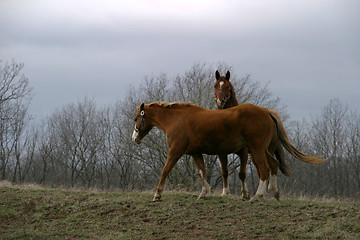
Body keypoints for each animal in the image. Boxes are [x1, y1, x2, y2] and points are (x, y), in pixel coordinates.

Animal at [132, 100, 326, 202]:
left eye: (136, 118)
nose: (134, 138)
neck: (177, 119)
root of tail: (266, 111)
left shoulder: (175, 152)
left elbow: (165, 170)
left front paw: (157, 194)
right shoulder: (196, 153)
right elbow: (202, 172)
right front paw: (204, 192)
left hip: (257, 149)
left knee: (264, 169)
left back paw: (258, 195)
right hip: (264, 150)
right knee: (274, 165)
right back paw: (274, 192)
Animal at [214, 70, 290, 200]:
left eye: (227, 87)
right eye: (215, 86)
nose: (220, 101)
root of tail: (269, 114)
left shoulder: (243, 153)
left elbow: (242, 173)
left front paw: (245, 194)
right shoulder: (221, 153)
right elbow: (225, 172)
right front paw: (225, 192)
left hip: (263, 150)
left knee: (268, 167)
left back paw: (264, 193)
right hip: (257, 153)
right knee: (267, 167)